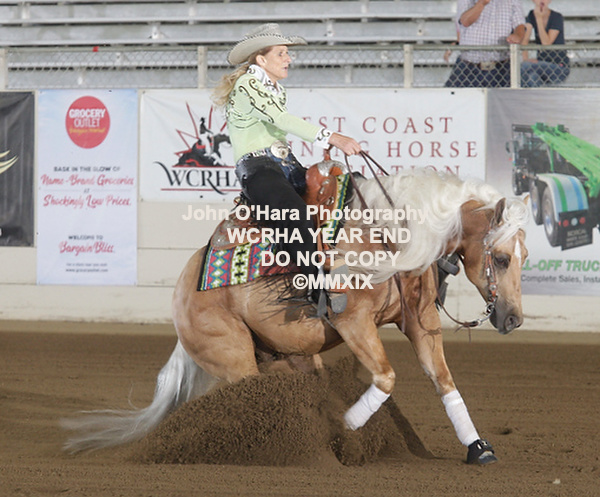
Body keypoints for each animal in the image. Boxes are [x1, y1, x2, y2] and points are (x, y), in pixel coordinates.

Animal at [62, 167, 529, 465]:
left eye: (525, 256)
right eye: (502, 258)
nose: (513, 319)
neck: (388, 234)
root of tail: (183, 292)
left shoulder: (420, 323)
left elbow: (444, 382)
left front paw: (478, 448)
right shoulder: (353, 323)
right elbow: (385, 378)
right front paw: (344, 432)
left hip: (294, 357)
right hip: (235, 359)